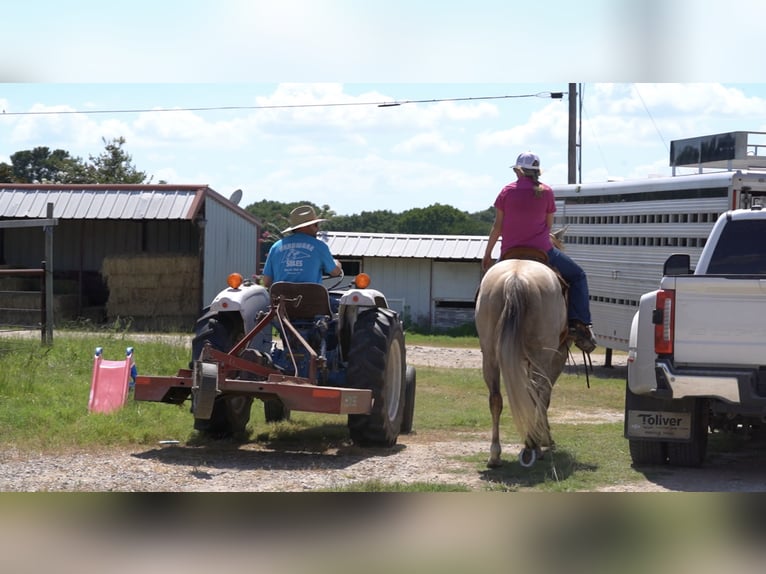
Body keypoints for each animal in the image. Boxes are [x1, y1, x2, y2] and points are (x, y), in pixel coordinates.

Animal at [476, 255, 572, 468]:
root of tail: (515, 278)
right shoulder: (557, 358)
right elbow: (544, 396)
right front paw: (545, 438)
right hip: (540, 356)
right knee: (537, 393)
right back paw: (533, 444)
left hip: (490, 356)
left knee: (496, 399)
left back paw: (495, 455)